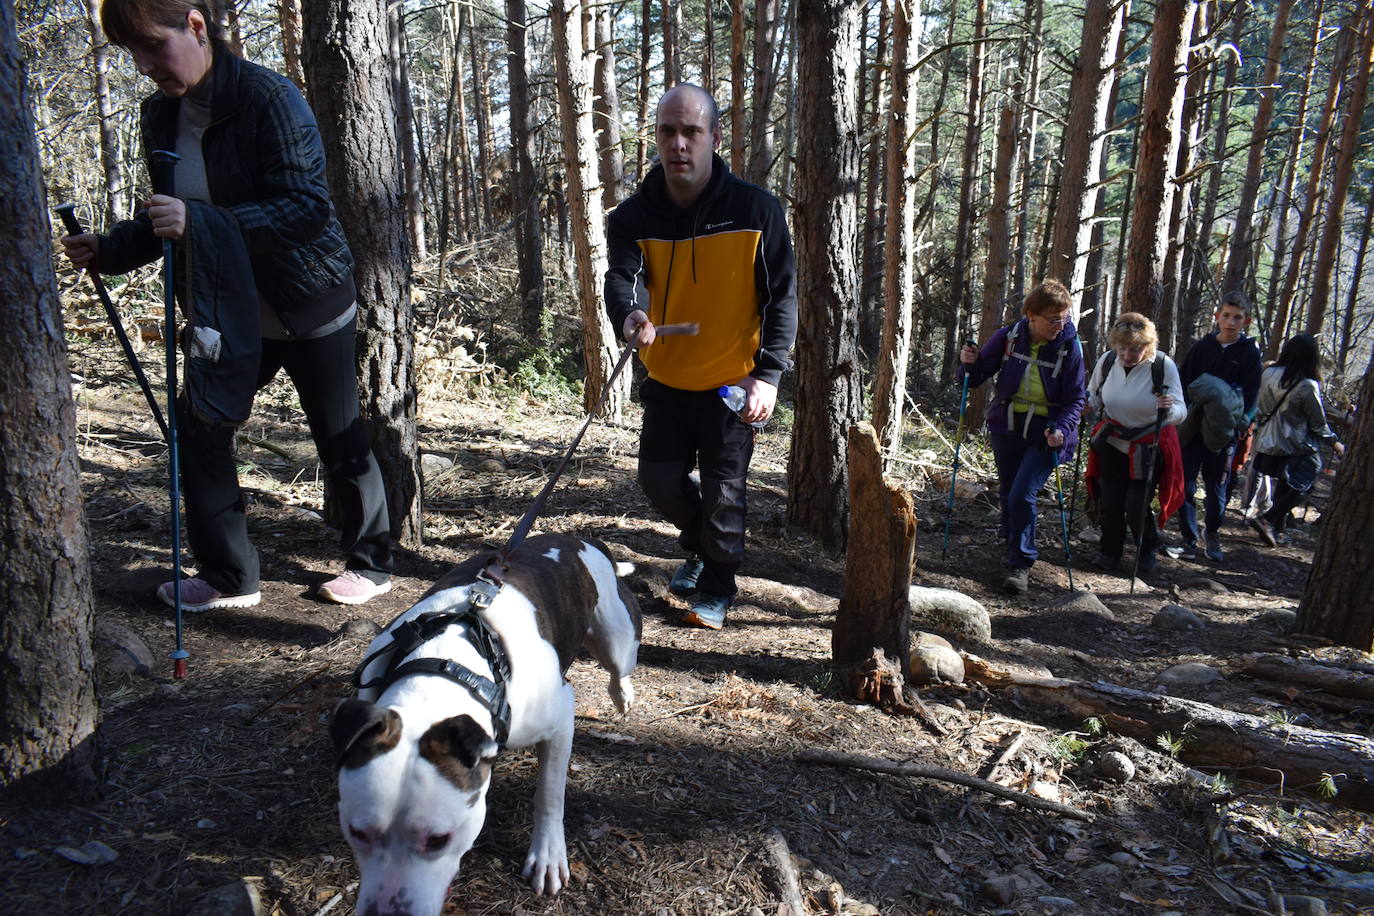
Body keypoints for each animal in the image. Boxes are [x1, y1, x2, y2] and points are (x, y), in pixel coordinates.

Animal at [329, 532, 640, 911]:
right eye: (357, 832)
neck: (445, 667)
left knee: (619, 666)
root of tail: (574, 538)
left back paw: (622, 693)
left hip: (619, 639)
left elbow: (549, 794)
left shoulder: (560, 720)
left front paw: (548, 856)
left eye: (439, 839)